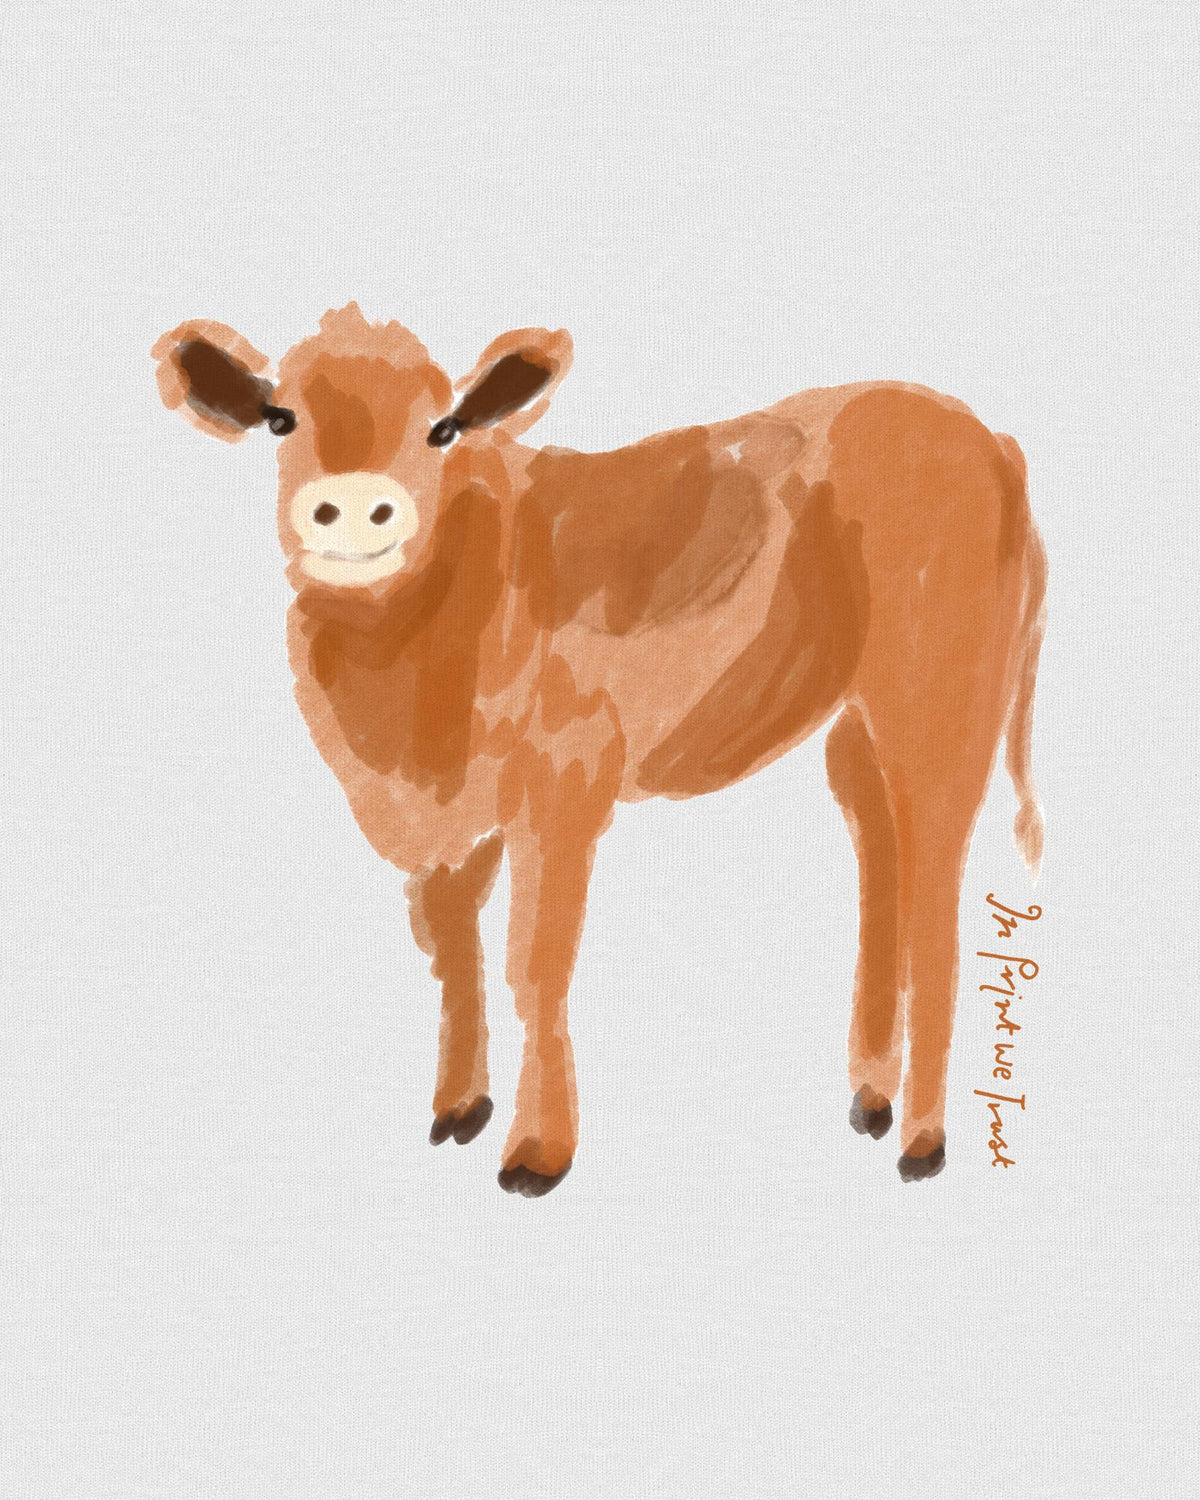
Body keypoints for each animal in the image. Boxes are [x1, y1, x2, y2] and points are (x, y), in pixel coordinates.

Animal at [152, 302, 1046, 1195]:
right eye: (280, 419)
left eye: (442, 428)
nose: (353, 504)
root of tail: (984, 437)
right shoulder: (451, 812)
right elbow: (450, 945)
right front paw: (458, 1108)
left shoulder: (563, 781)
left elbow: (534, 961)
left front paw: (537, 1152)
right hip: (856, 730)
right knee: (884, 862)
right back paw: (871, 1100)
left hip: (937, 709)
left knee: (935, 887)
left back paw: (923, 1141)